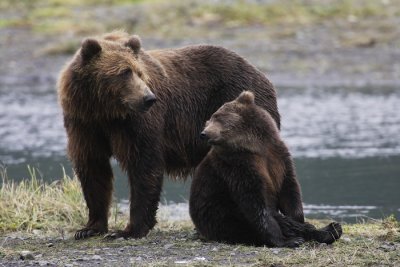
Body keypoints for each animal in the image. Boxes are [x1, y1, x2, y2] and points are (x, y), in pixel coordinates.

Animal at [57, 30, 284, 240]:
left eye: (140, 72)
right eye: (124, 72)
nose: (148, 98)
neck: (106, 112)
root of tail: (261, 74)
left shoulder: (138, 124)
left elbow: (145, 164)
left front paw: (129, 230)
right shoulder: (83, 124)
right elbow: (93, 167)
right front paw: (89, 228)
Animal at [190, 91, 340, 247]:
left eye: (217, 117)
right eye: (209, 120)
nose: (203, 133)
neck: (254, 146)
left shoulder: (278, 156)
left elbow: (290, 189)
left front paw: (299, 219)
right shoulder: (238, 166)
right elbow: (256, 203)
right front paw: (286, 240)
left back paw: (331, 229)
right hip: (222, 216)